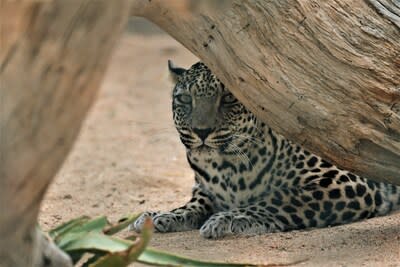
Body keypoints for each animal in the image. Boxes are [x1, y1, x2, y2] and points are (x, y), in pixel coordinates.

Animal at [130, 61, 398, 241]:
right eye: (185, 99)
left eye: (228, 98)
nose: (201, 131)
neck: (224, 167)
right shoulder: (205, 189)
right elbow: (194, 203)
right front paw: (162, 215)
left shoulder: (345, 181)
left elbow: (281, 199)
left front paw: (231, 219)